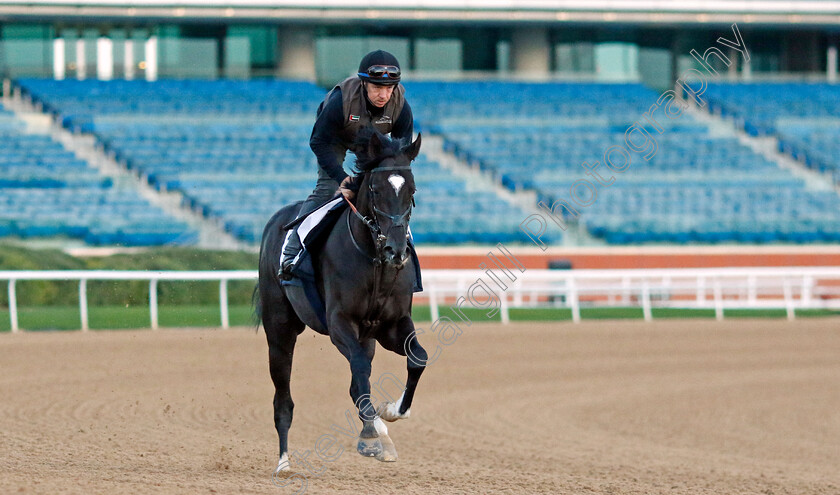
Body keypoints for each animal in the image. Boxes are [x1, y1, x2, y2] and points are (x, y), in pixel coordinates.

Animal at [256, 130, 426, 474]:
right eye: (375, 189)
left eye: (411, 190)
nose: (397, 250)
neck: (374, 260)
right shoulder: (339, 323)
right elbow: (359, 370)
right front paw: (374, 433)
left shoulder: (391, 325)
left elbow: (417, 358)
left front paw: (390, 412)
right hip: (279, 331)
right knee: (283, 398)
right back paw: (283, 462)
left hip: (367, 337)